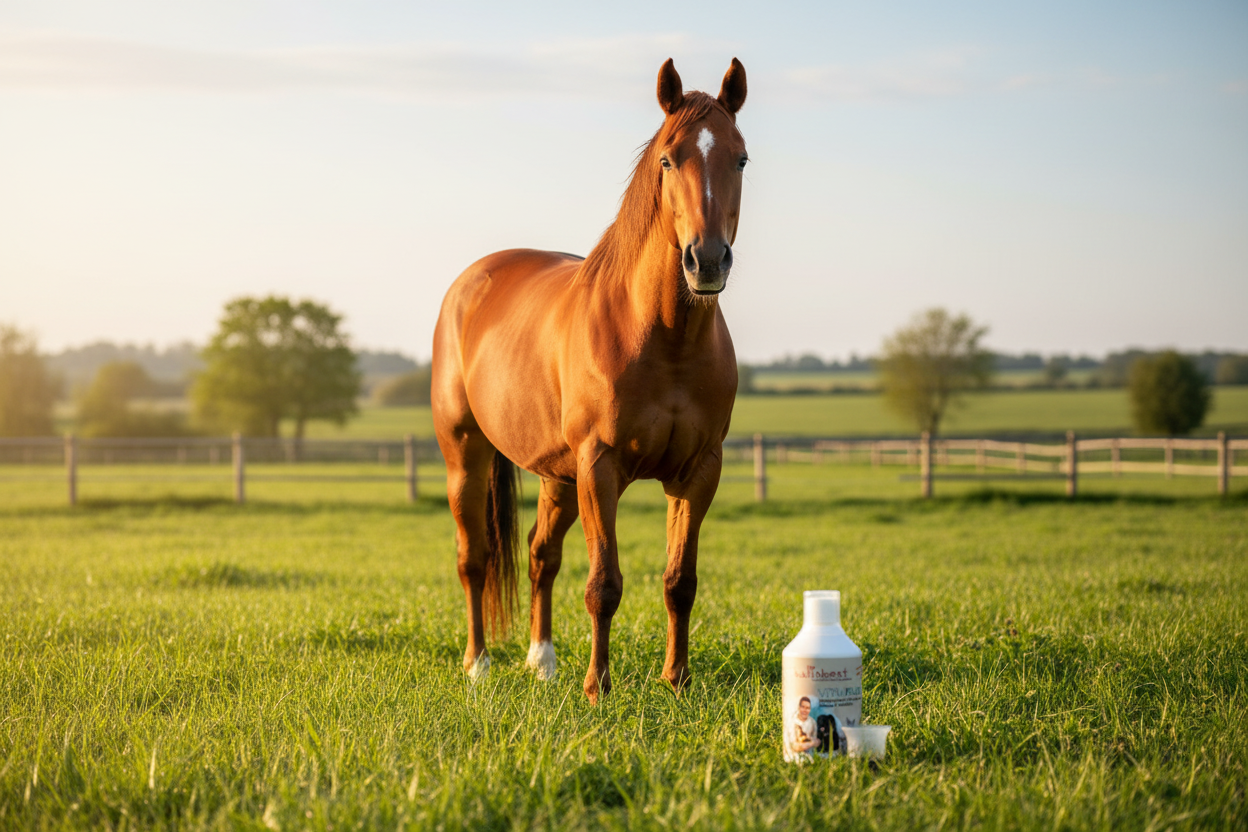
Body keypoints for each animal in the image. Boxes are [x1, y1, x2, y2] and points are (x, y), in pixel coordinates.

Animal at [431, 57, 748, 703]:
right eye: (668, 159)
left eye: (741, 159)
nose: (707, 261)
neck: (663, 338)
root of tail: (472, 281)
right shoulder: (599, 465)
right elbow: (604, 583)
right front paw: (597, 688)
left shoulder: (699, 470)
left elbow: (680, 581)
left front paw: (676, 681)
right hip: (466, 454)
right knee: (474, 557)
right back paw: (479, 664)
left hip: (557, 475)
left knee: (539, 555)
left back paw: (542, 660)